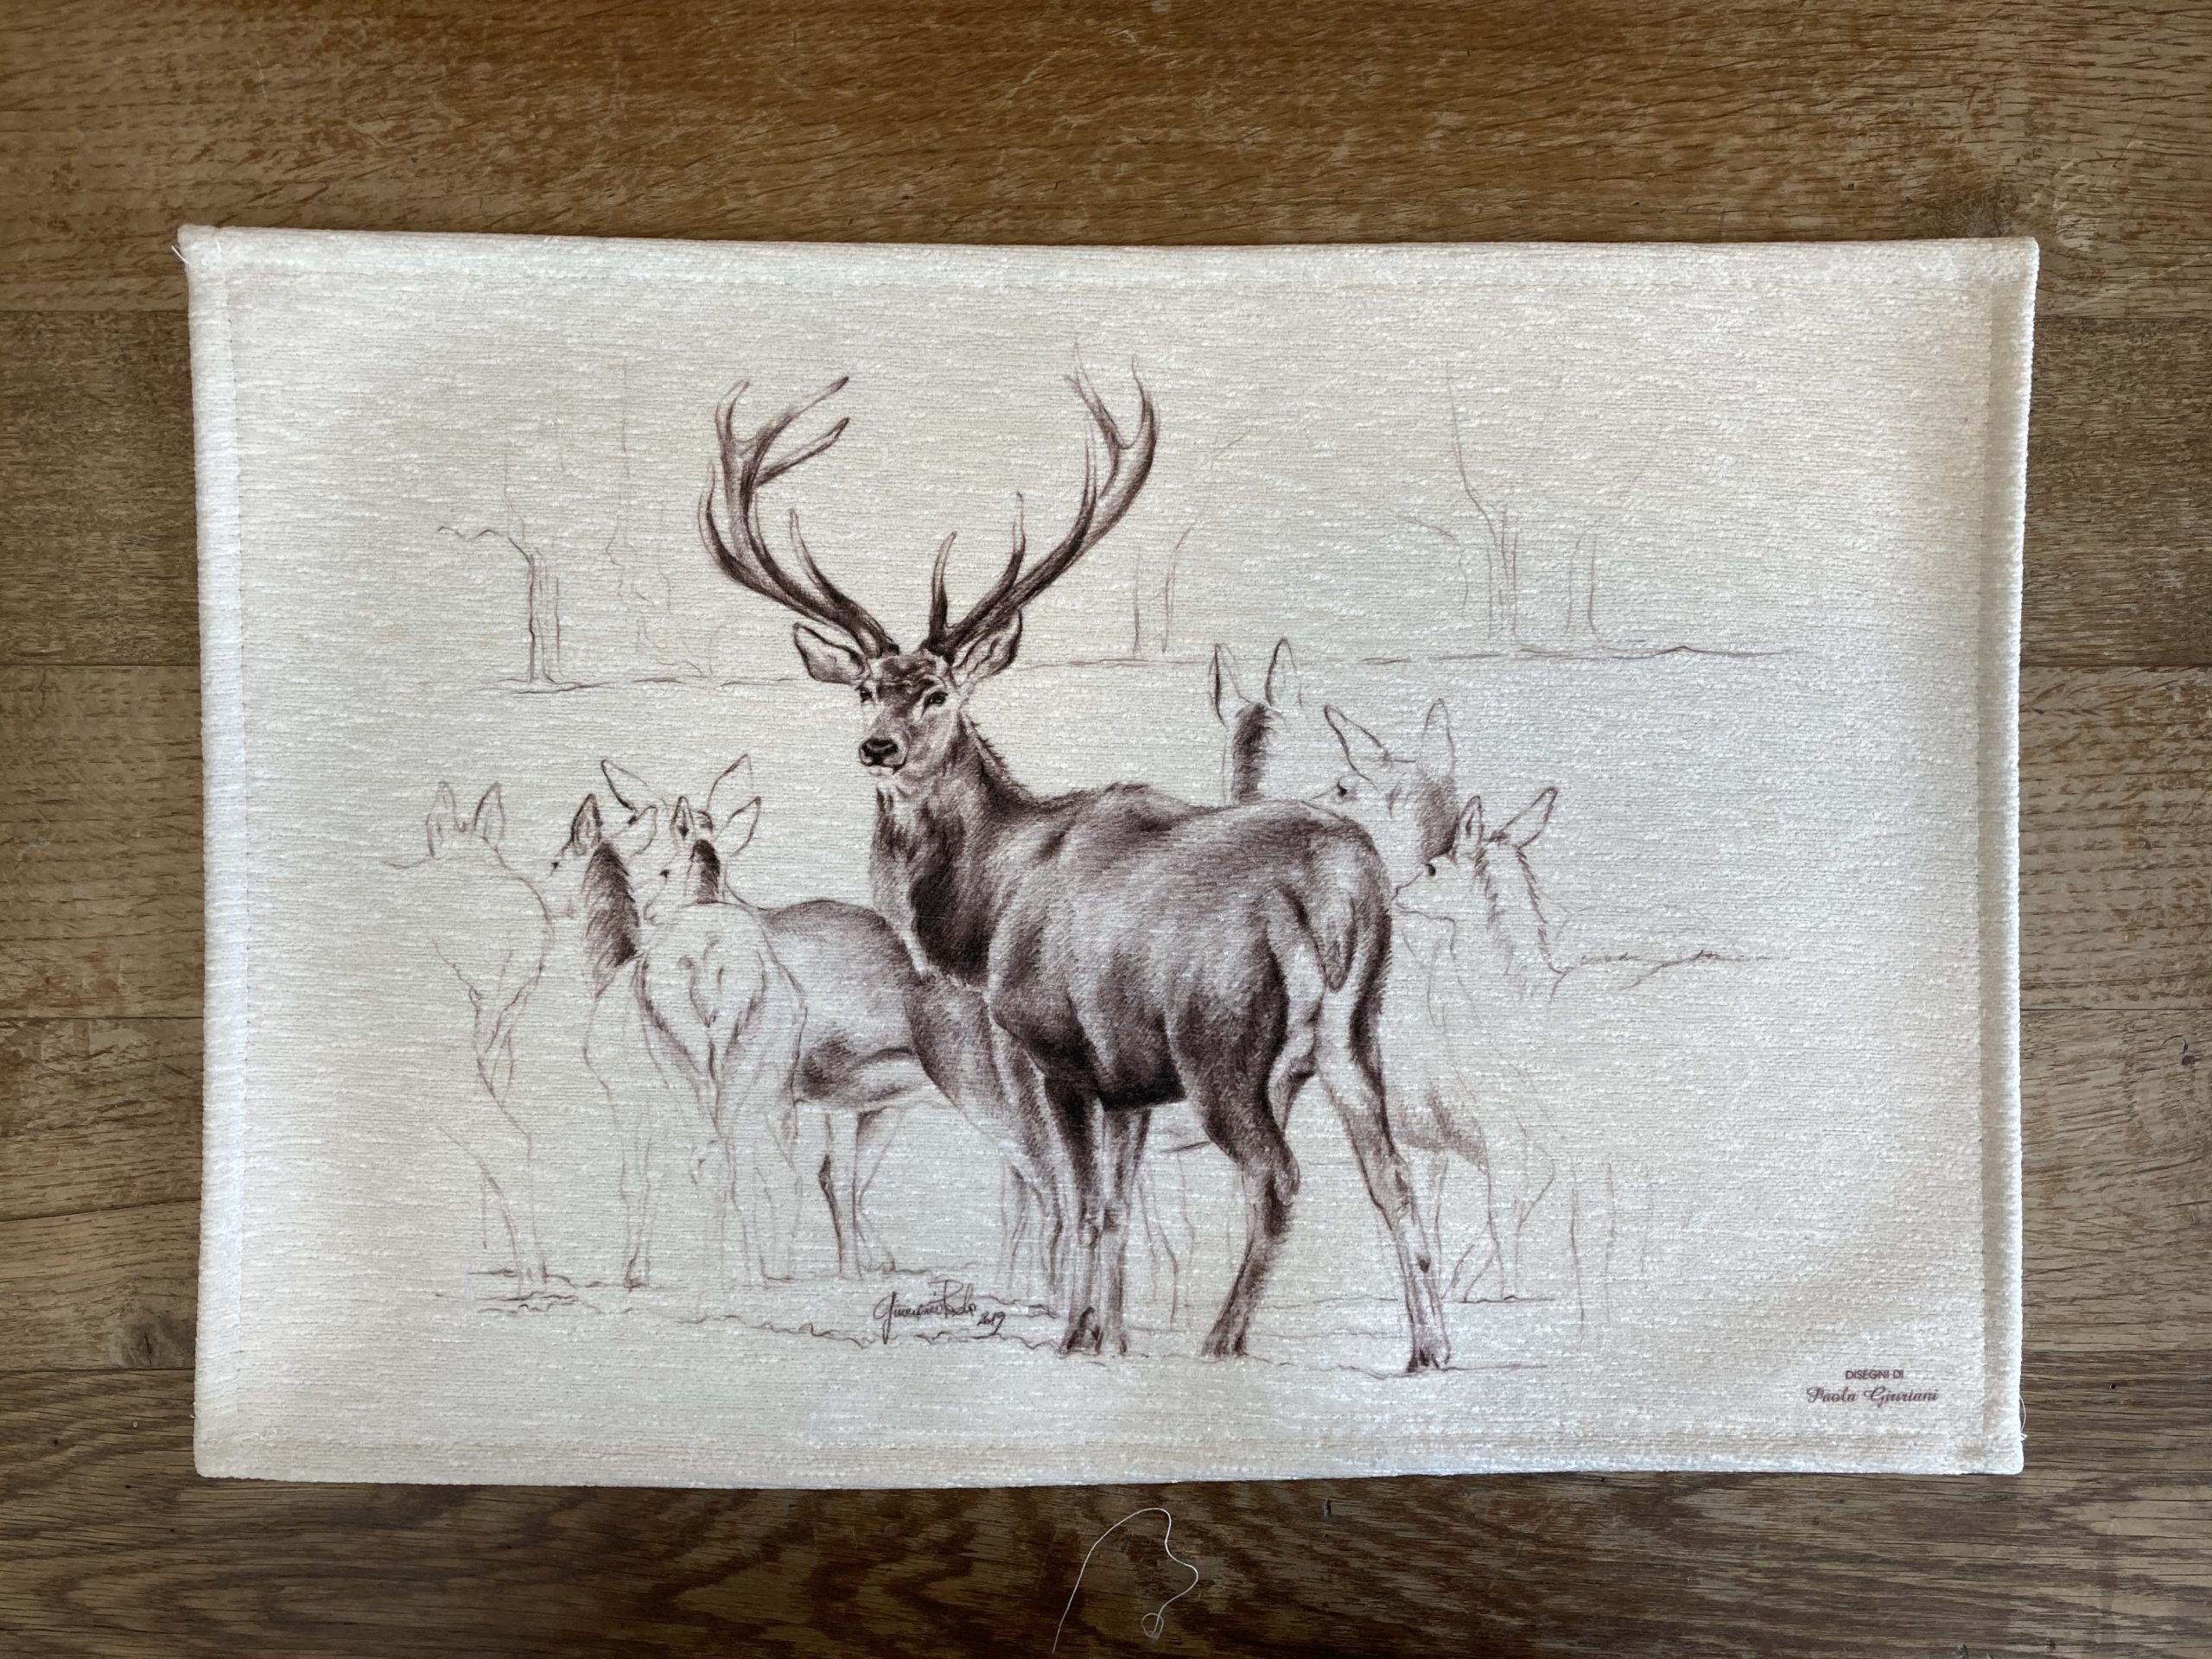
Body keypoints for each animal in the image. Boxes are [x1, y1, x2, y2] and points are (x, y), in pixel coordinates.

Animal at [698, 374, 1450, 1370]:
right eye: (864, 687)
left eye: (938, 691)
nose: (876, 748)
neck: (985, 913)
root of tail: (1336, 890)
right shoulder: (1128, 1075)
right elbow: (1116, 1207)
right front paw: (1110, 1335)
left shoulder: (1058, 1052)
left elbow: (1084, 1203)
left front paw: (1078, 1335)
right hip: (1355, 1035)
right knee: (1392, 1175)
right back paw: (1429, 1348)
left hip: (1220, 1042)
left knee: (1279, 1178)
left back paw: (1223, 1339)